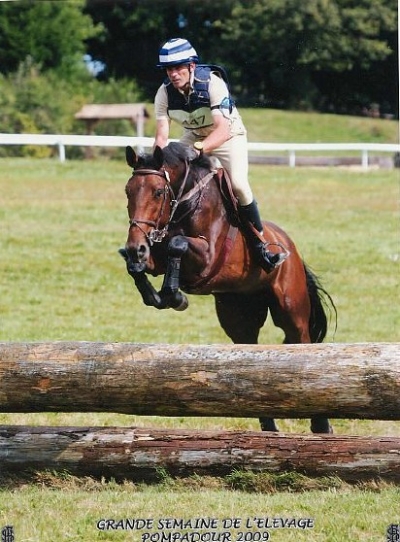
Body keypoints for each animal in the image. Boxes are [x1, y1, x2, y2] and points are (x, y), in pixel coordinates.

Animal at [120, 142, 336, 436]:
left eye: (158, 192)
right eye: (128, 191)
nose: (136, 246)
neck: (184, 205)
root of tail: (290, 246)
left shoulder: (207, 258)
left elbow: (178, 243)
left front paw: (174, 295)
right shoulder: (153, 256)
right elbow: (136, 265)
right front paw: (158, 292)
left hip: (291, 309)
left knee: (302, 341)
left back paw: (321, 425)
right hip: (238, 316)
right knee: (248, 350)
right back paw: (269, 427)